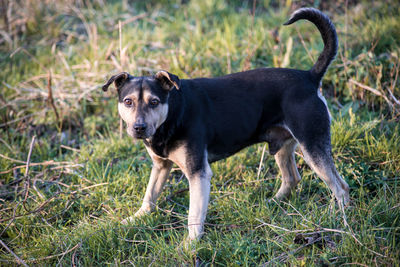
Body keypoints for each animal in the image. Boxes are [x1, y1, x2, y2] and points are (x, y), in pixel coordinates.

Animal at [101, 7, 348, 243]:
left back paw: (340, 220)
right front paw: (136, 218)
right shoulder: (160, 166)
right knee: (292, 178)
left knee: (341, 188)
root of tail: (310, 77)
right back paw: (272, 203)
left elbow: (194, 216)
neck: (172, 113)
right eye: (128, 102)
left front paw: (190, 245)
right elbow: (149, 195)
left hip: (313, 147)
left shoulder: (198, 173)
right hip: (283, 146)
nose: (139, 128)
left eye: (154, 102)